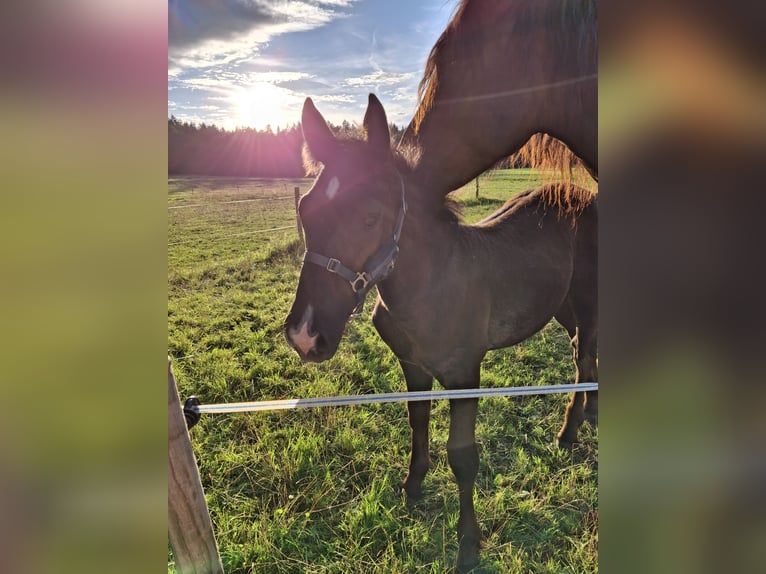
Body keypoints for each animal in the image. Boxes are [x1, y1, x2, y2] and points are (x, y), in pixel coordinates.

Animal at [284, 95, 596, 574]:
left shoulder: (466, 375)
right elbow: (417, 423)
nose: (305, 335)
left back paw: (570, 429)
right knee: (585, 352)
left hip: (588, 297)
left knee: (587, 353)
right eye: (305, 212)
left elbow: (463, 456)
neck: (430, 283)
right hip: (562, 304)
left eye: (371, 217)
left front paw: (468, 545)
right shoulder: (413, 366)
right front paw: (412, 487)